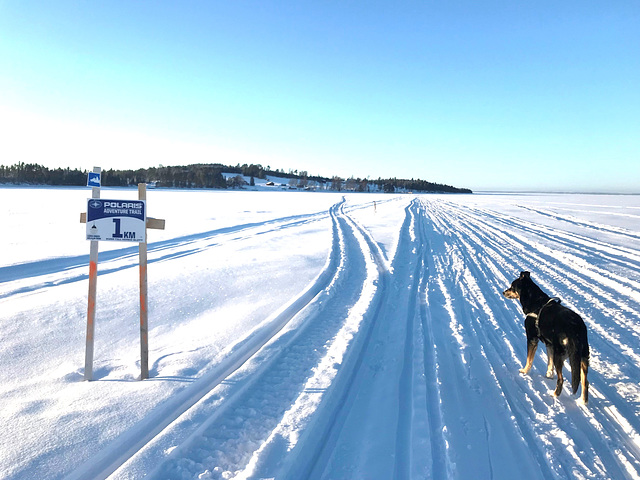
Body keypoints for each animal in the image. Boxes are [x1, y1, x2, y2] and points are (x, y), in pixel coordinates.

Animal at [504, 272, 592, 404]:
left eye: (512, 286)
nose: (503, 292)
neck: (535, 302)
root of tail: (575, 327)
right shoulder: (549, 344)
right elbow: (549, 363)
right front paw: (549, 375)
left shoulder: (532, 339)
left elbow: (529, 359)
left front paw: (524, 371)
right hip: (583, 356)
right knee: (585, 382)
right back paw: (583, 401)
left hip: (559, 355)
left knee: (561, 379)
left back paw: (554, 394)